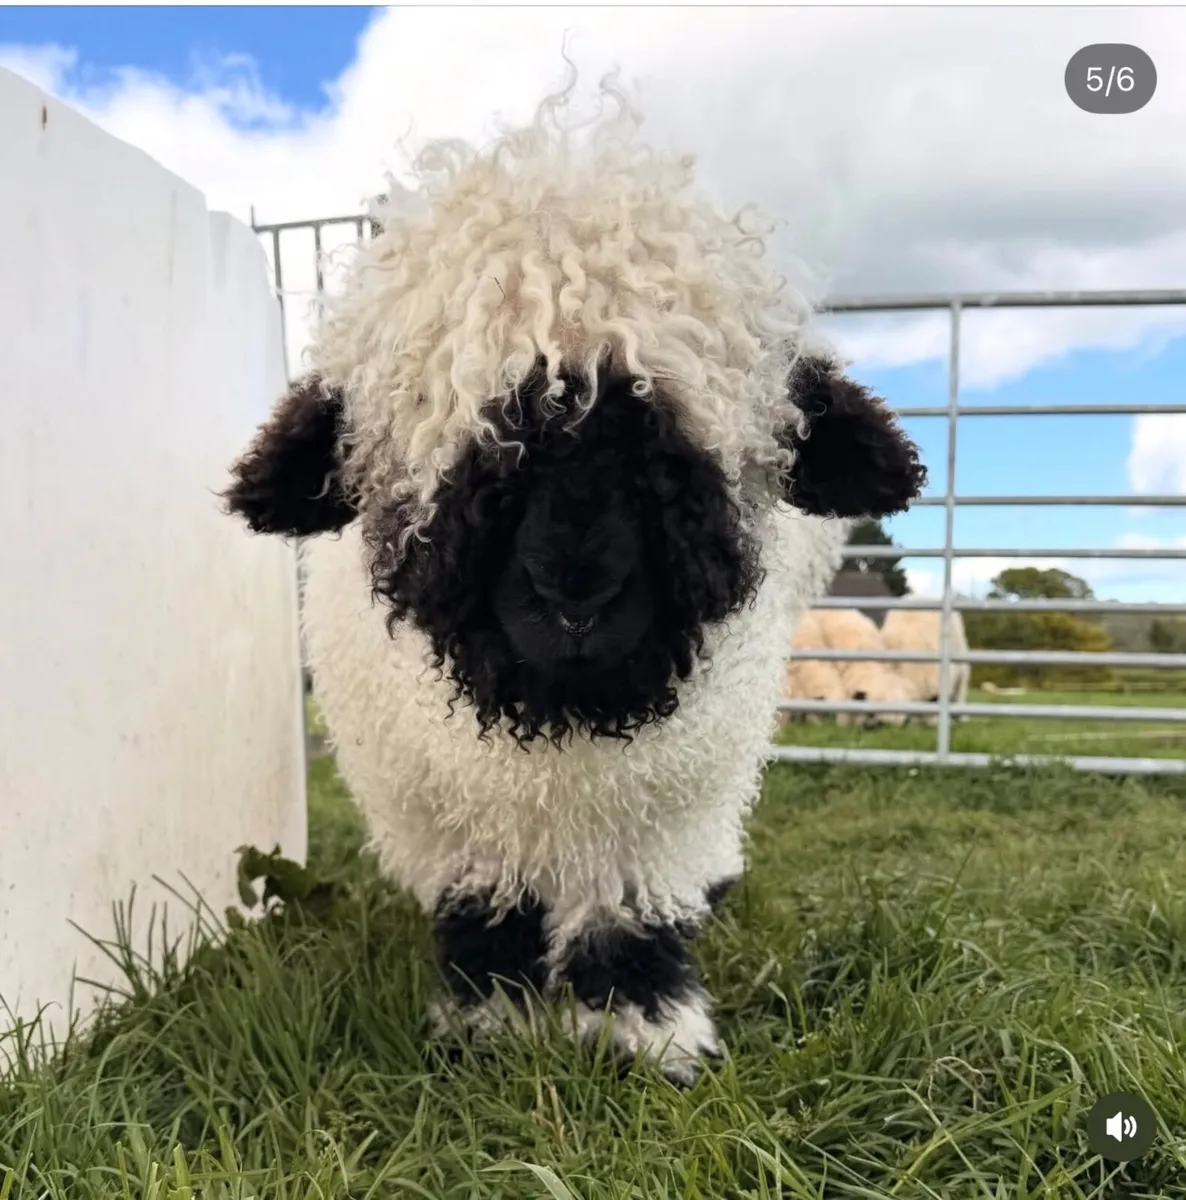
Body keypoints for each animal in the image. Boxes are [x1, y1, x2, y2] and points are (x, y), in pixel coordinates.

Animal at [223, 76, 925, 1084]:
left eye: (670, 448)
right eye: (467, 454)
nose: (576, 597)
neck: (562, 716)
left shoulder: (671, 796)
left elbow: (630, 912)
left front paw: (647, 1031)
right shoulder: (438, 804)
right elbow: (487, 906)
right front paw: (491, 1019)